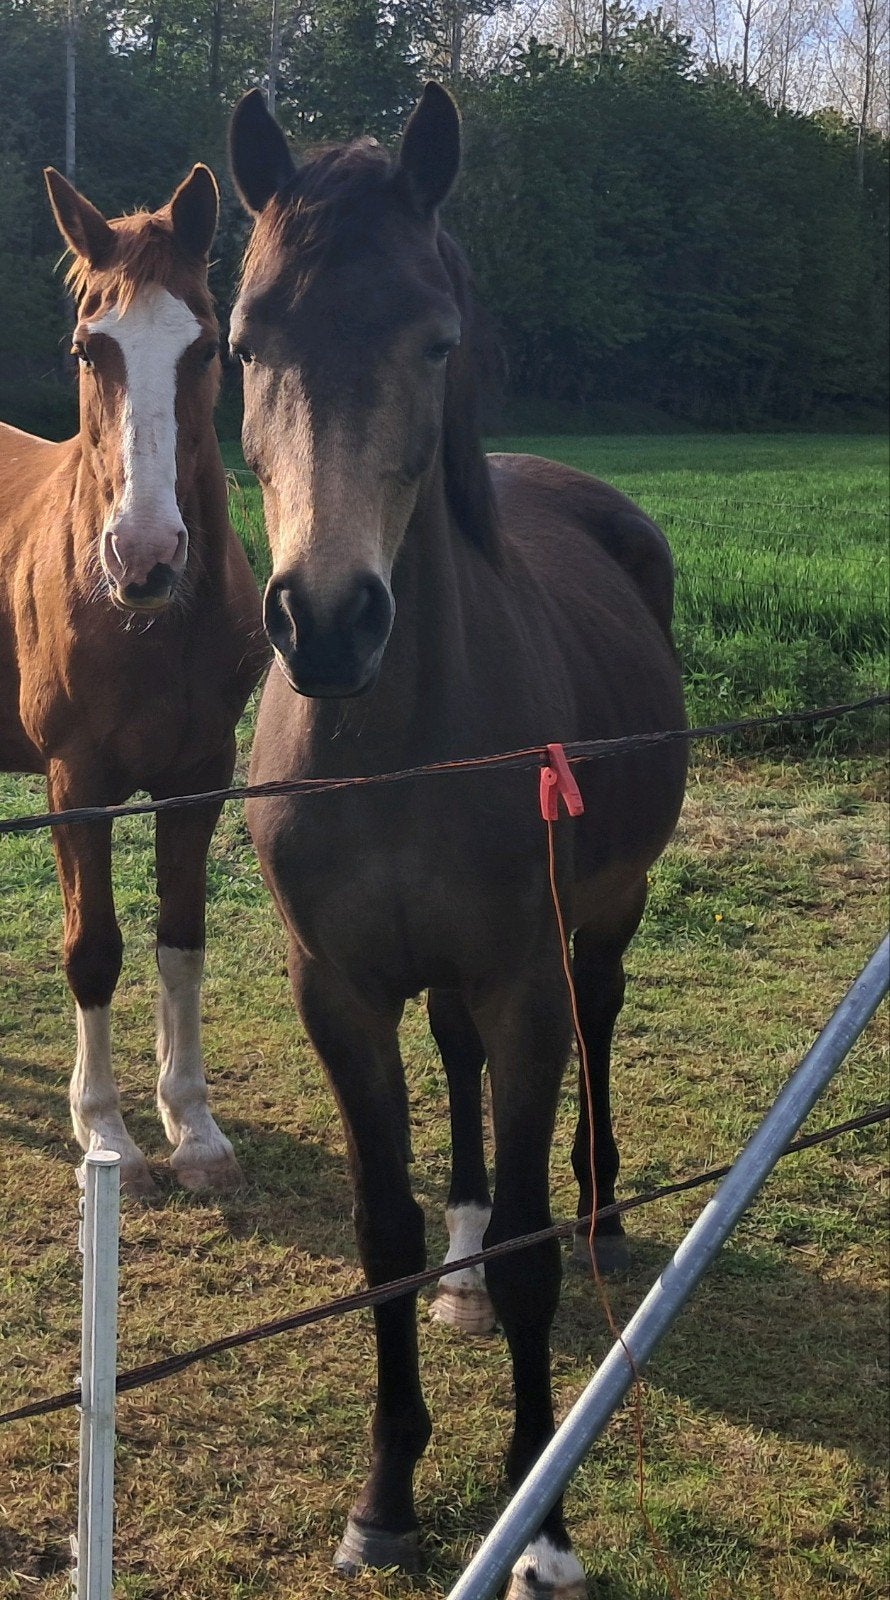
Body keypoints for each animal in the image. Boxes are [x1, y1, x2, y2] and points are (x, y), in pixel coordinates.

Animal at [0, 165, 265, 1197]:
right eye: (88, 347)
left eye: (208, 348)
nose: (144, 559)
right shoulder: (76, 785)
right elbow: (94, 949)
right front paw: (106, 1130)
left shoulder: (200, 777)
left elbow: (181, 941)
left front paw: (192, 1126)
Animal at [229, 83, 686, 1597]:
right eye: (245, 341)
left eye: (432, 340)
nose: (325, 620)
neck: (401, 738)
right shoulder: (338, 991)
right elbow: (381, 1233)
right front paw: (382, 1496)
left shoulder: (523, 979)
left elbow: (545, 1255)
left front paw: (539, 1522)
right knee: (459, 1074)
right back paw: (465, 1271)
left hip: (600, 920)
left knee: (597, 1028)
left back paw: (596, 1209)